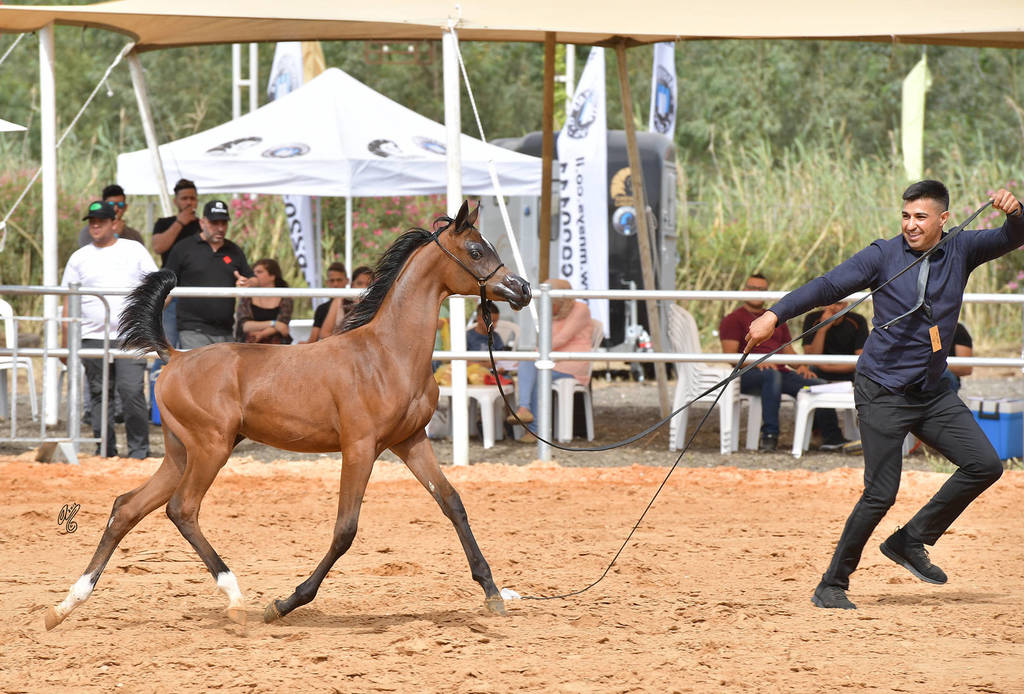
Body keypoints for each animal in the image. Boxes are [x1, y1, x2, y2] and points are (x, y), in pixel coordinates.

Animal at [45, 201, 531, 630]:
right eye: (476, 250)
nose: (521, 289)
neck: (386, 353)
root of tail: (176, 356)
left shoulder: (410, 441)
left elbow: (452, 503)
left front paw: (493, 593)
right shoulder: (360, 447)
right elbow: (345, 530)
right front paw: (284, 603)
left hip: (180, 453)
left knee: (126, 507)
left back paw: (65, 607)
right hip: (210, 448)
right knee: (182, 509)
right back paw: (236, 599)